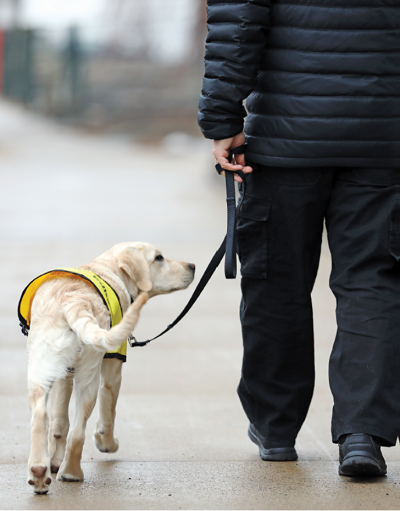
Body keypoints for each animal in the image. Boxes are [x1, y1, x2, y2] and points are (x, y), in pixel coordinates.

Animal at [24, 244, 195, 496]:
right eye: (159, 258)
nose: (193, 266)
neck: (109, 269)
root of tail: (74, 302)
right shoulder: (113, 371)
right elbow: (108, 412)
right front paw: (106, 444)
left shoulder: (65, 374)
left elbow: (59, 421)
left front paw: (54, 461)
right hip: (90, 377)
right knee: (79, 431)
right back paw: (72, 473)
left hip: (41, 371)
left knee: (41, 416)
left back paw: (39, 472)